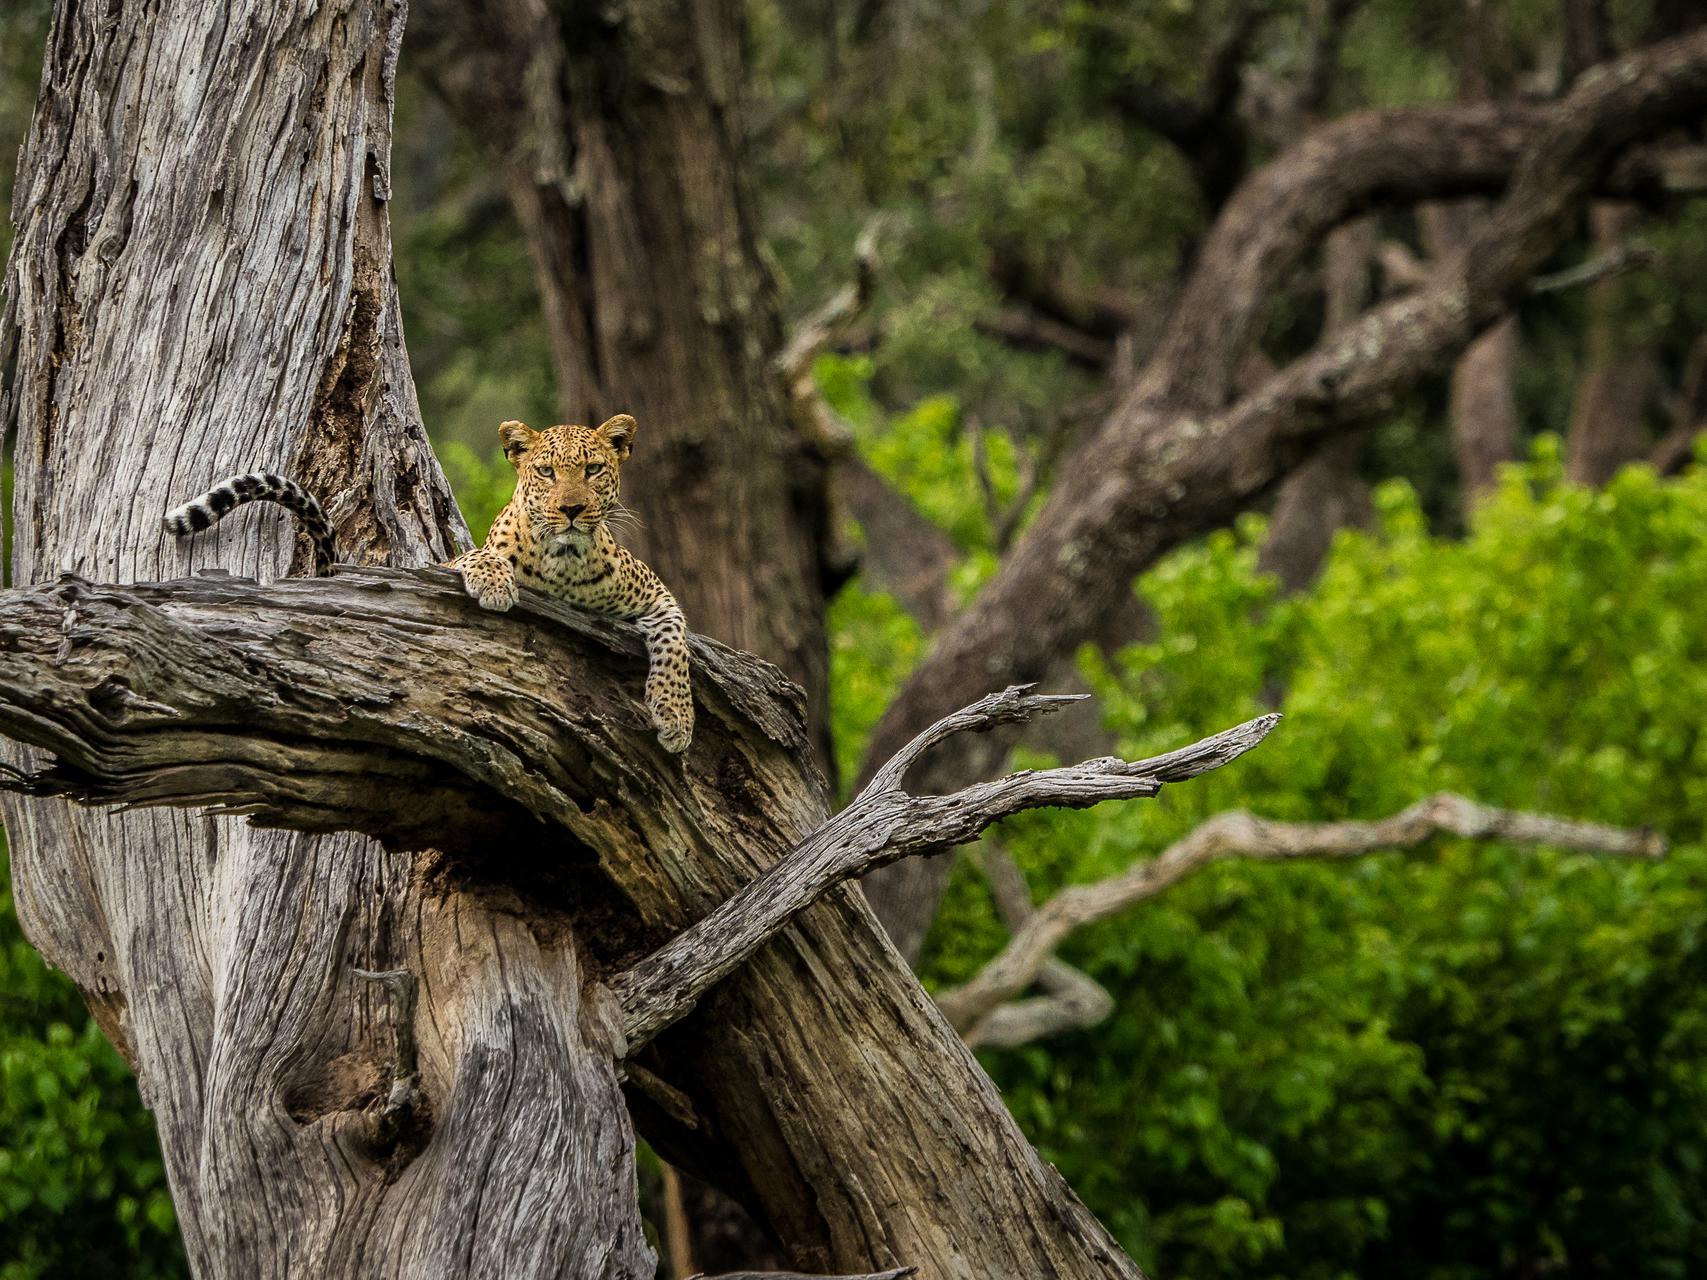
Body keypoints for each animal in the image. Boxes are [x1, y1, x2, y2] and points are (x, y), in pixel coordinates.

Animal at [162, 413, 693, 753]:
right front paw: (495, 583)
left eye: (593, 469)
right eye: (545, 471)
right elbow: (477, 555)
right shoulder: (451, 562)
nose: (571, 509)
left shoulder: (657, 594)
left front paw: (675, 717)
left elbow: (676, 645)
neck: (565, 562)